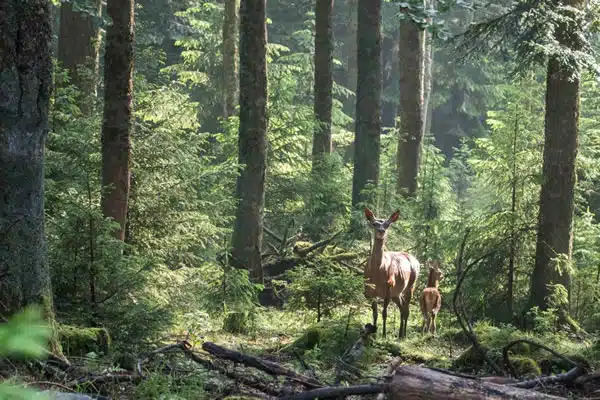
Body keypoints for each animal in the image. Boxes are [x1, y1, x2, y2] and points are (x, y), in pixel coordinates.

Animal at [364, 208, 420, 340]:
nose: (381, 231)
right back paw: (399, 334)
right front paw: (374, 332)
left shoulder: (389, 286)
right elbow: (375, 312)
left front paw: (384, 334)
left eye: (387, 224)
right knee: (402, 308)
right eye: (374, 223)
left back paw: (404, 335)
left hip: (410, 285)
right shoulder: (371, 289)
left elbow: (384, 313)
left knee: (407, 309)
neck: (377, 273)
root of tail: (416, 260)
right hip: (397, 293)